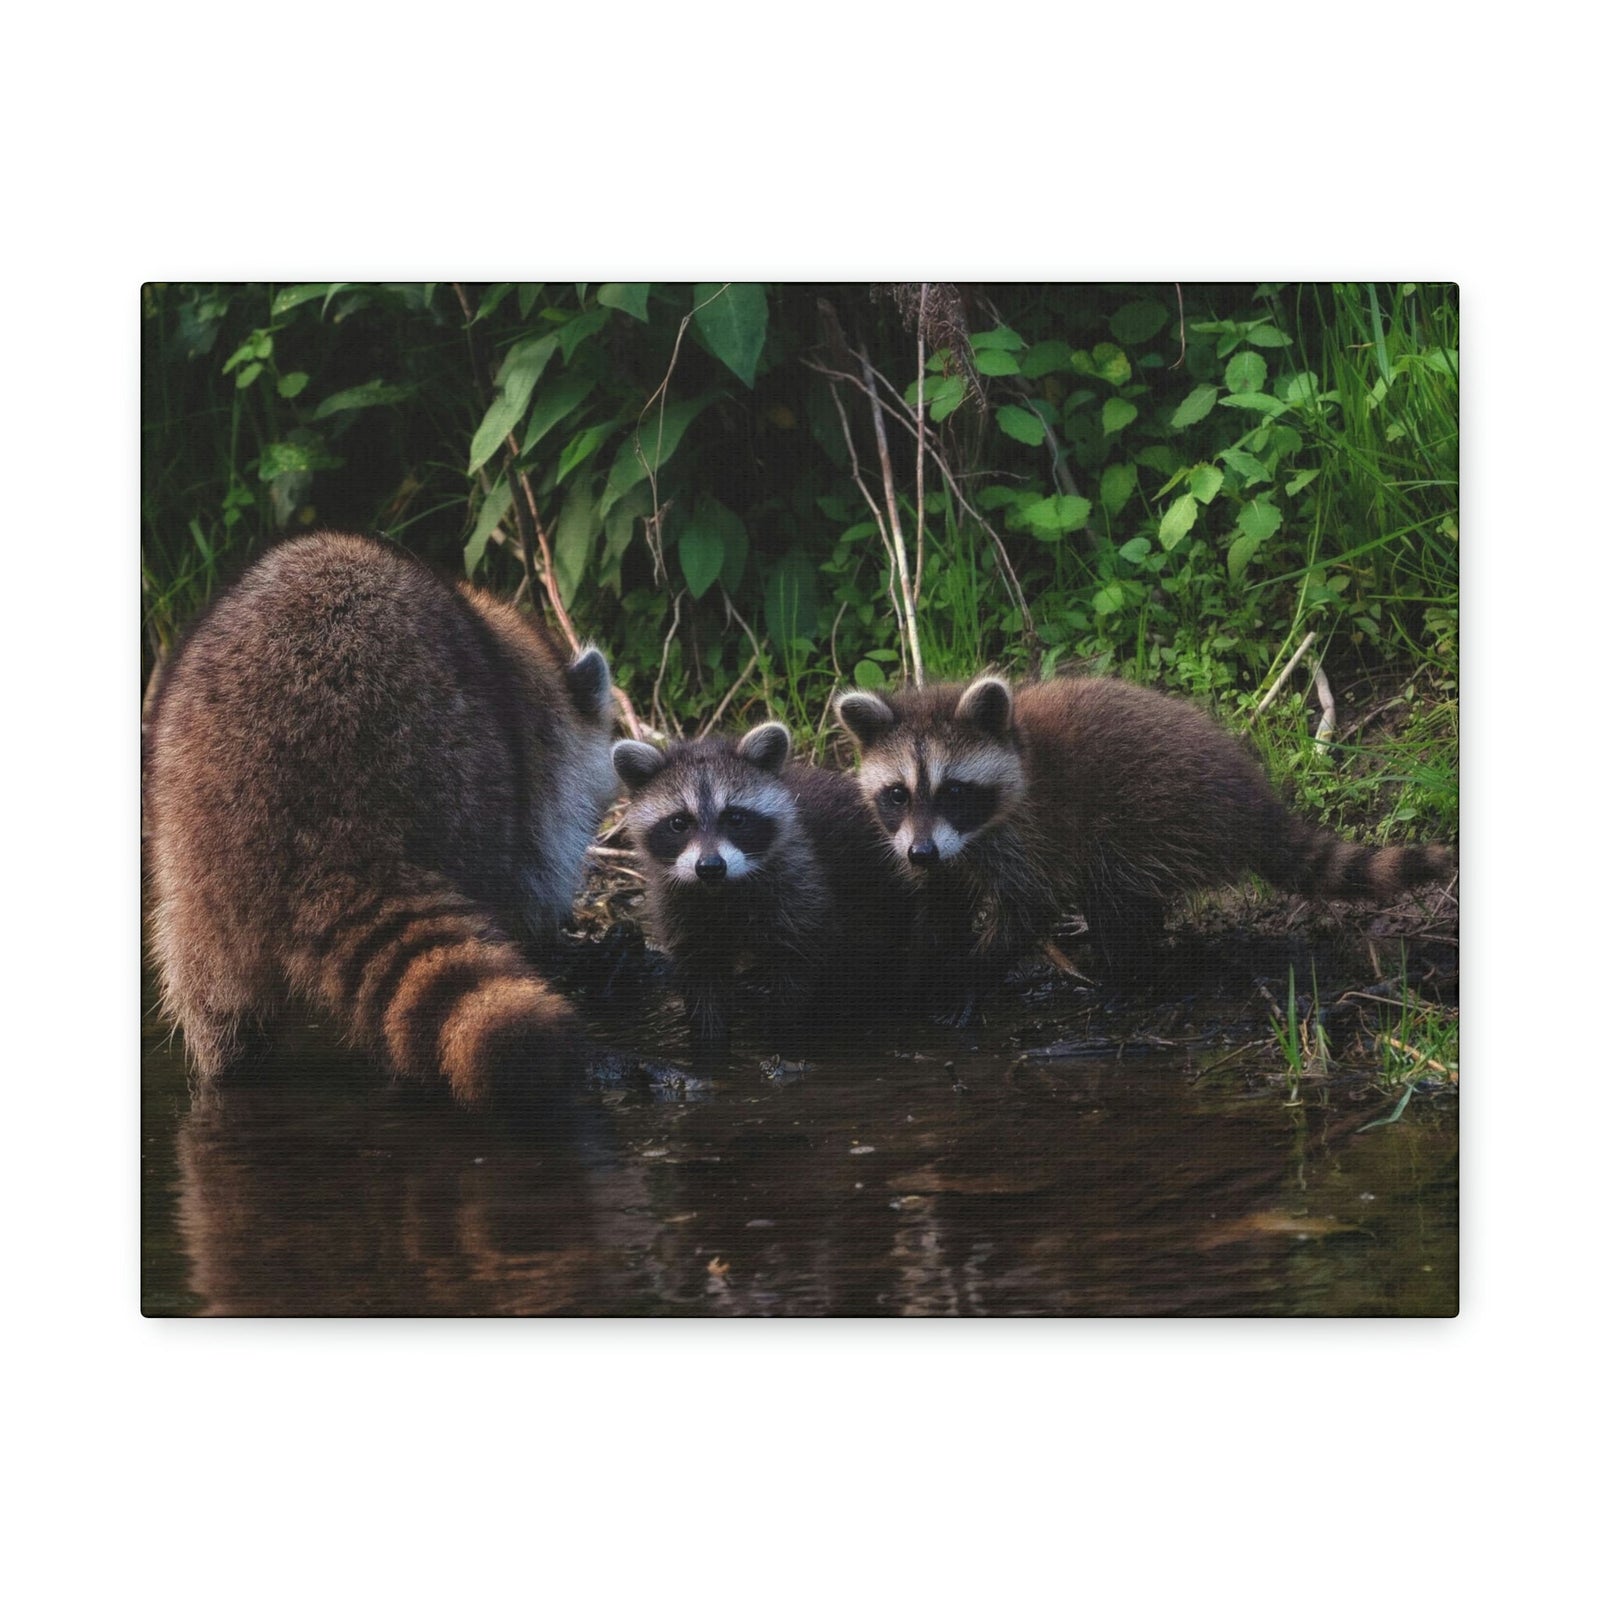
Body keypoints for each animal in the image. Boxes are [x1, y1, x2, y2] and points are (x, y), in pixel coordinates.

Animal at [611, 723, 910, 1046]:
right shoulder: (680, 907)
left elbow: (796, 971)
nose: (710, 867)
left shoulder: (800, 886)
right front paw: (709, 1041)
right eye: (679, 823)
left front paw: (779, 1034)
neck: (721, 889)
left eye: (735, 818)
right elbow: (702, 979)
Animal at [836, 673, 1455, 1011]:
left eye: (955, 791)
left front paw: (968, 972)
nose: (921, 853)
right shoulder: (935, 847)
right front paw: (928, 960)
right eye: (897, 794)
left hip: (1159, 818)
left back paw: (1128, 970)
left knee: (1115, 890)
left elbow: (1029, 909)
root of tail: (1253, 798)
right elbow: (940, 899)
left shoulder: (1033, 836)